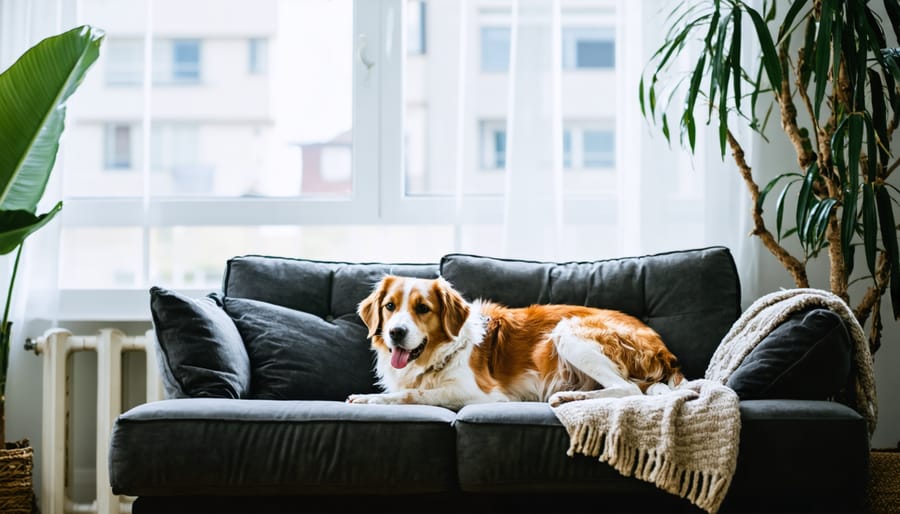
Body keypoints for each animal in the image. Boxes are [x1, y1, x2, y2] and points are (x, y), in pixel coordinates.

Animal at [348, 274, 684, 410]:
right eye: (390, 306)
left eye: (422, 308)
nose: (396, 333)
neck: (442, 353)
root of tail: (664, 350)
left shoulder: (483, 394)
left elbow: (414, 394)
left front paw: (368, 399)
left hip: (567, 332)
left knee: (627, 390)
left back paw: (570, 398)